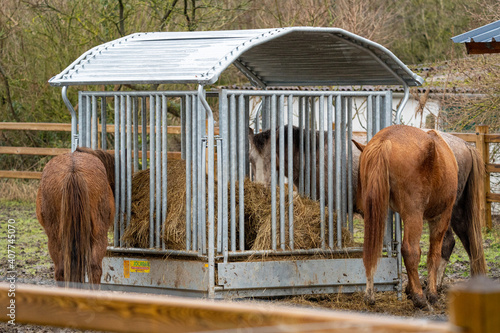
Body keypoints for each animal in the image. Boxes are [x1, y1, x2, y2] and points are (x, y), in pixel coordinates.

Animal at [354, 125, 458, 308]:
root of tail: (385, 140)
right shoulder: (440, 217)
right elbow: (433, 254)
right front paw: (431, 293)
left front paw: (409, 289)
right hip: (414, 214)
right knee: (410, 250)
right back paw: (420, 298)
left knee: (371, 250)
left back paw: (369, 294)